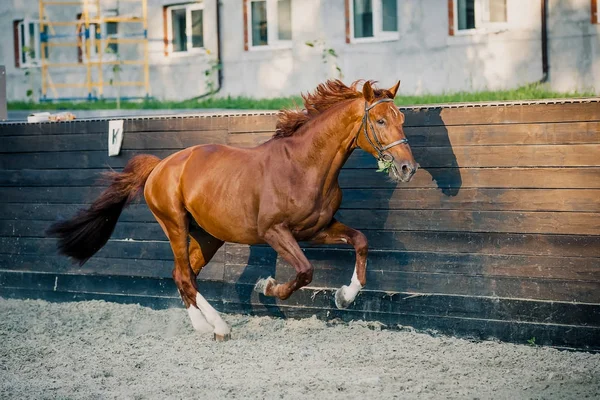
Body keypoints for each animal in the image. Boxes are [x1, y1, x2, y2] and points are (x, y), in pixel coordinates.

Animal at [47, 80, 418, 340]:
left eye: (401, 119)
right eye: (380, 120)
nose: (407, 168)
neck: (304, 166)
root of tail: (159, 166)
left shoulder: (317, 229)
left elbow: (360, 241)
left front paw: (344, 296)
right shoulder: (274, 232)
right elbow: (304, 271)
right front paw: (267, 287)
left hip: (208, 236)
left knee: (183, 275)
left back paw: (206, 325)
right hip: (175, 225)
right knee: (184, 274)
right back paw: (218, 327)